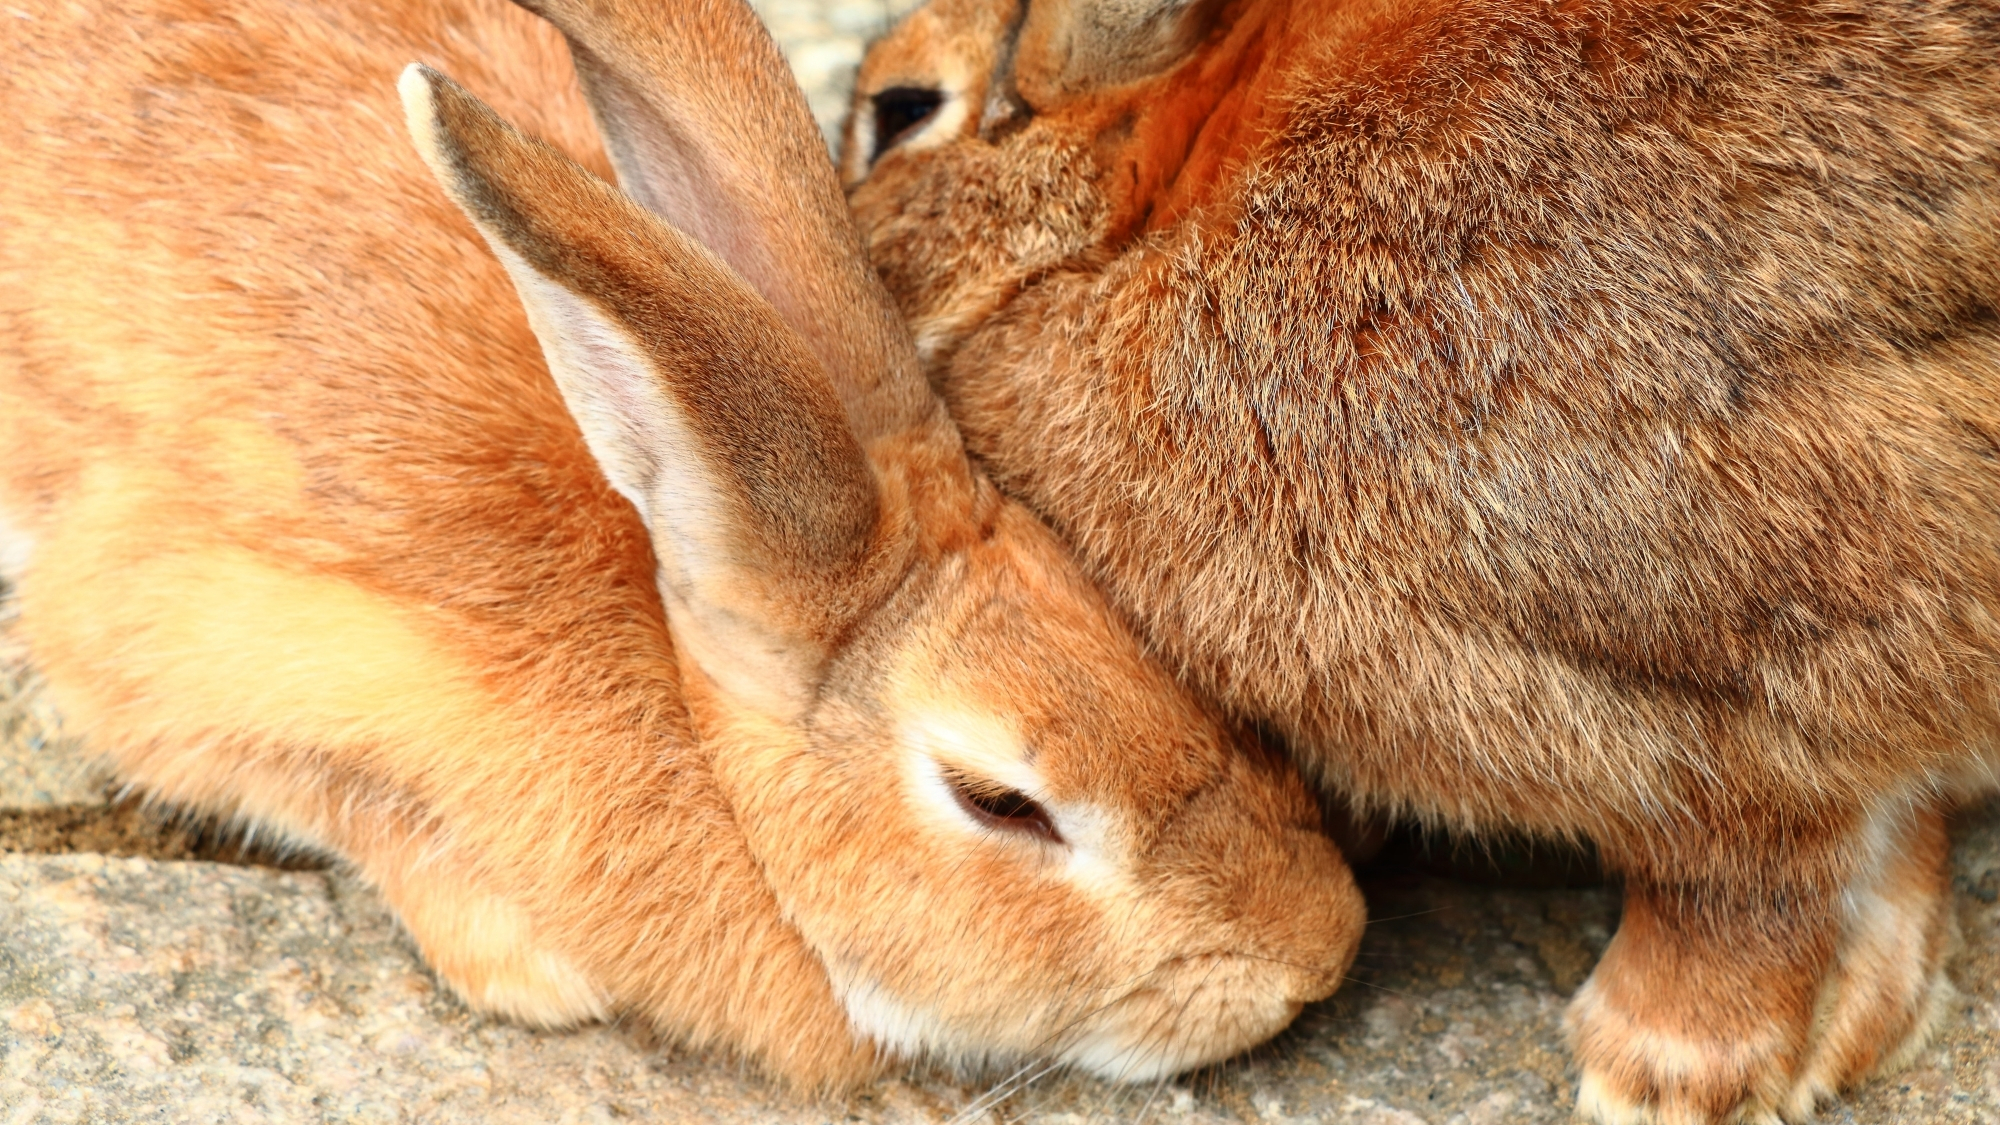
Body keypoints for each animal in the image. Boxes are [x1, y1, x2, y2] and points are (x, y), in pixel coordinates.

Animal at [784, 0, 2000, 1112]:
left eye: (900, 112)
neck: (1144, 216)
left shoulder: (1736, 667)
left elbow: (1748, 880)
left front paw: (1659, 1074)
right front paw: (1860, 1027)